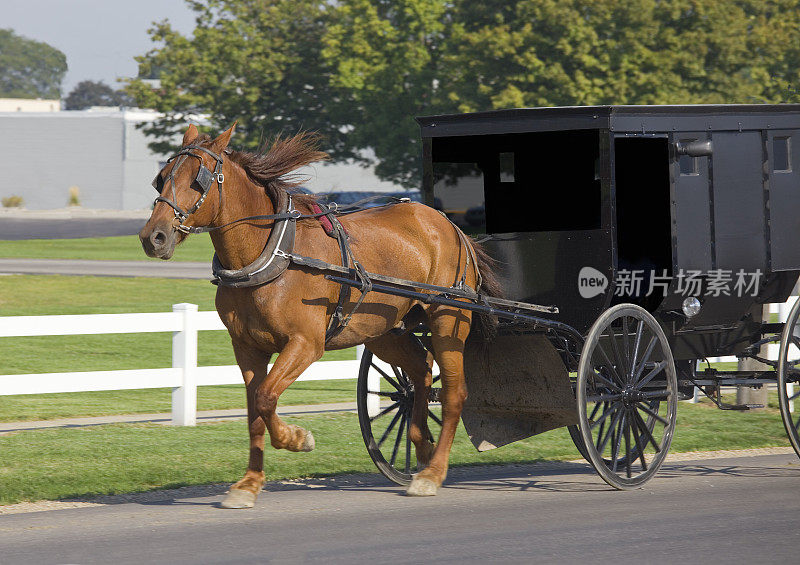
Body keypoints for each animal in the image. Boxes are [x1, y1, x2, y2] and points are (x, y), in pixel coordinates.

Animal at [141, 124, 496, 506]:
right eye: (160, 179)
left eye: (200, 179)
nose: (153, 237)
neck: (274, 254)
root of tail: (448, 225)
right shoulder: (246, 347)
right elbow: (254, 410)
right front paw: (249, 483)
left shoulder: (306, 343)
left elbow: (266, 397)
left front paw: (296, 438)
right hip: (384, 331)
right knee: (420, 372)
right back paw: (423, 447)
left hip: (448, 320)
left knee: (454, 393)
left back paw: (433, 472)